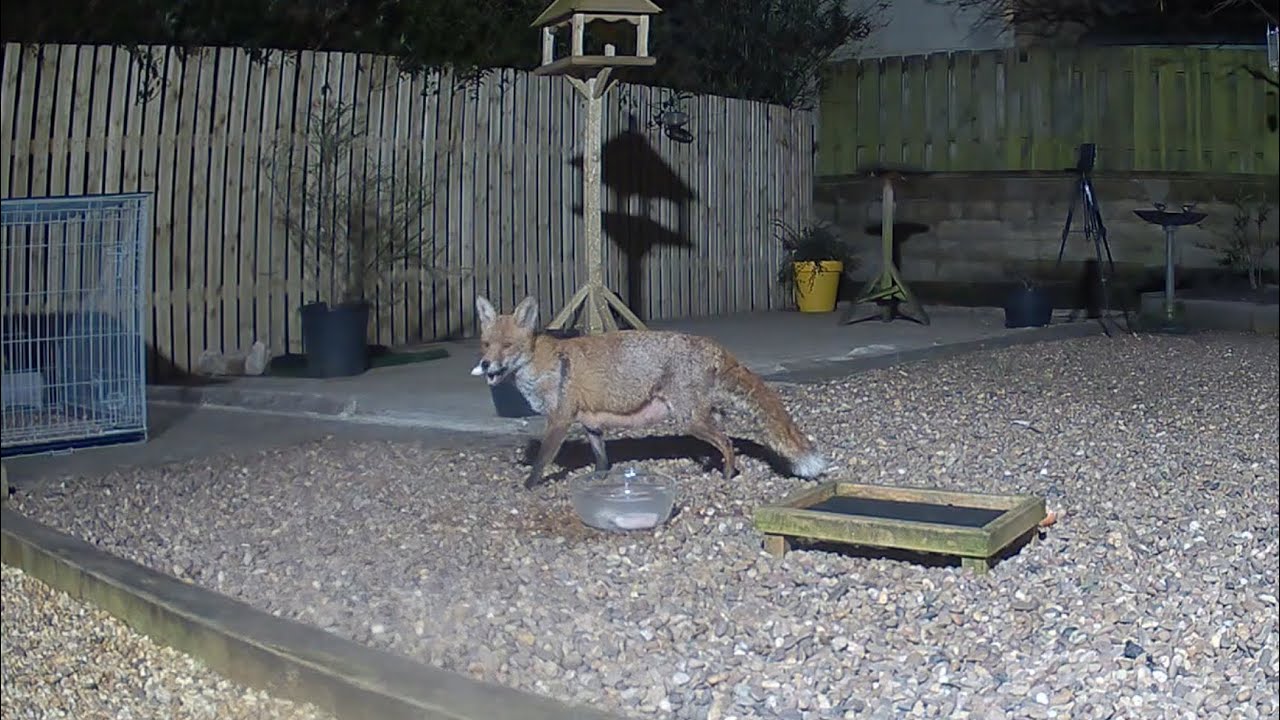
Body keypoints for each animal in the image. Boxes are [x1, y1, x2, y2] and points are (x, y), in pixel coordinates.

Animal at [470, 295, 829, 489]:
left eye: (507, 346)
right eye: (486, 344)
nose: (485, 364)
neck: (546, 363)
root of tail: (711, 344)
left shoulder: (559, 420)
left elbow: (542, 460)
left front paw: (528, 487)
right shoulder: (590, 423)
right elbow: (602, 460)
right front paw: (600, 480)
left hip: (689, 419)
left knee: (727, 444)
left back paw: (727, 474)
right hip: (702, 416)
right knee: (725, 438)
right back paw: (711, 465)